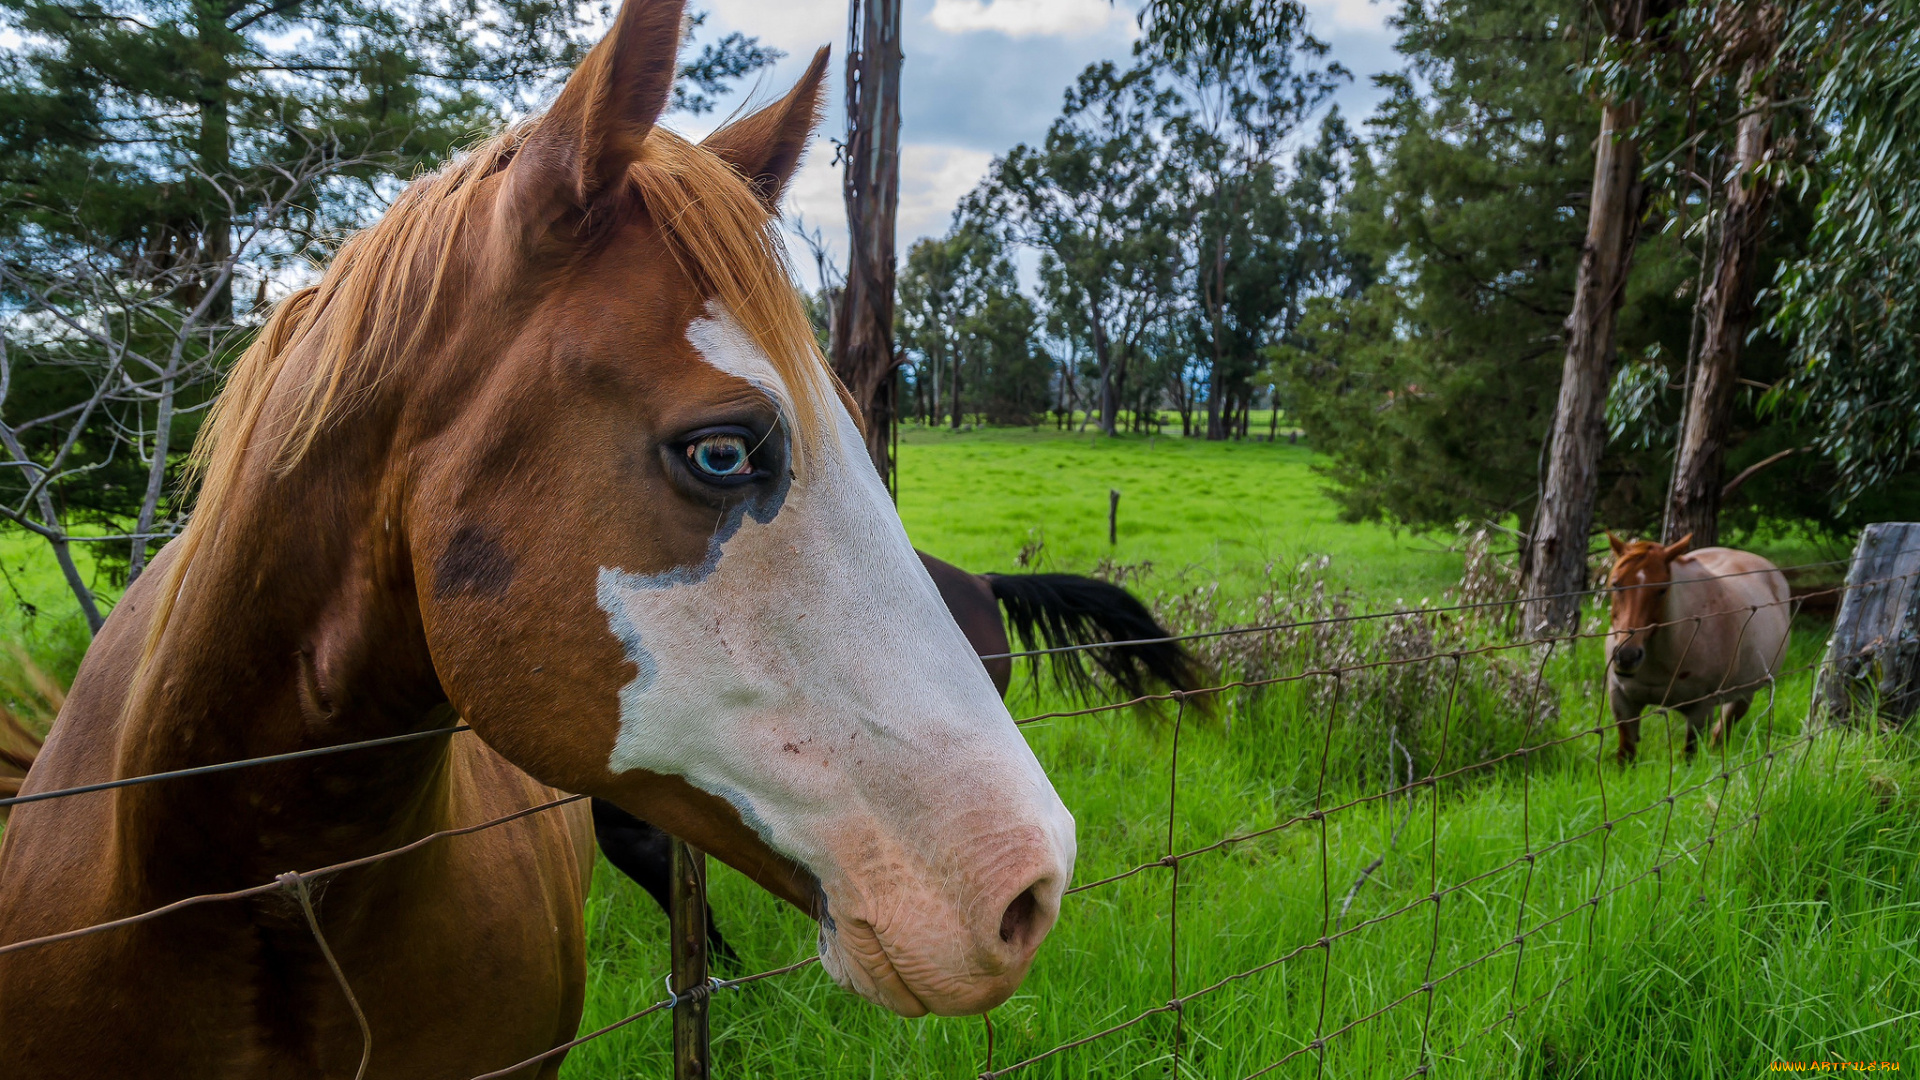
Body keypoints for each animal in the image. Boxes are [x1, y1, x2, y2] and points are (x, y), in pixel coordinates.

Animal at [1597, 534, 1789, 760]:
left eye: (1662, 590)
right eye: (1616, 584)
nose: (1627, 656)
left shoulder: (1701, 711)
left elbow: (1689, 754)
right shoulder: (1622, 701)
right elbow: (1626, 755)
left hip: (1745, 693)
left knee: (1722, 731)